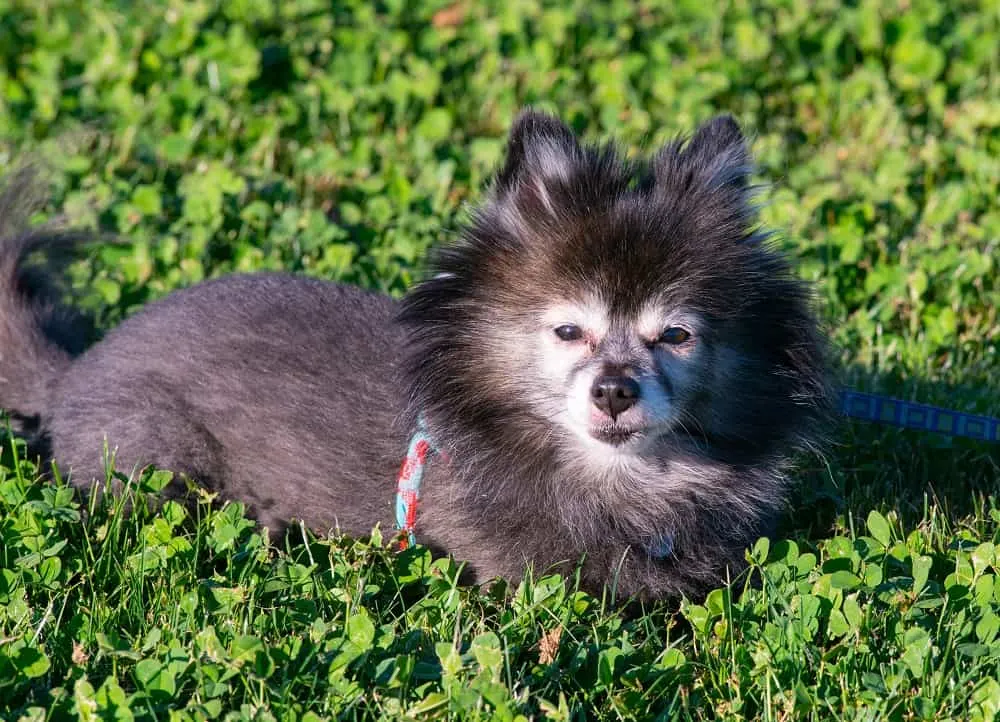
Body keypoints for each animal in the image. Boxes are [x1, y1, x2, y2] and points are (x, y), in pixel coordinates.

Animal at [0, 111, 828, 596]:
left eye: (676, 335)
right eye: (569, 331)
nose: (615, 390)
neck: (616, 479)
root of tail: (72, 375)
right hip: (160, 464)